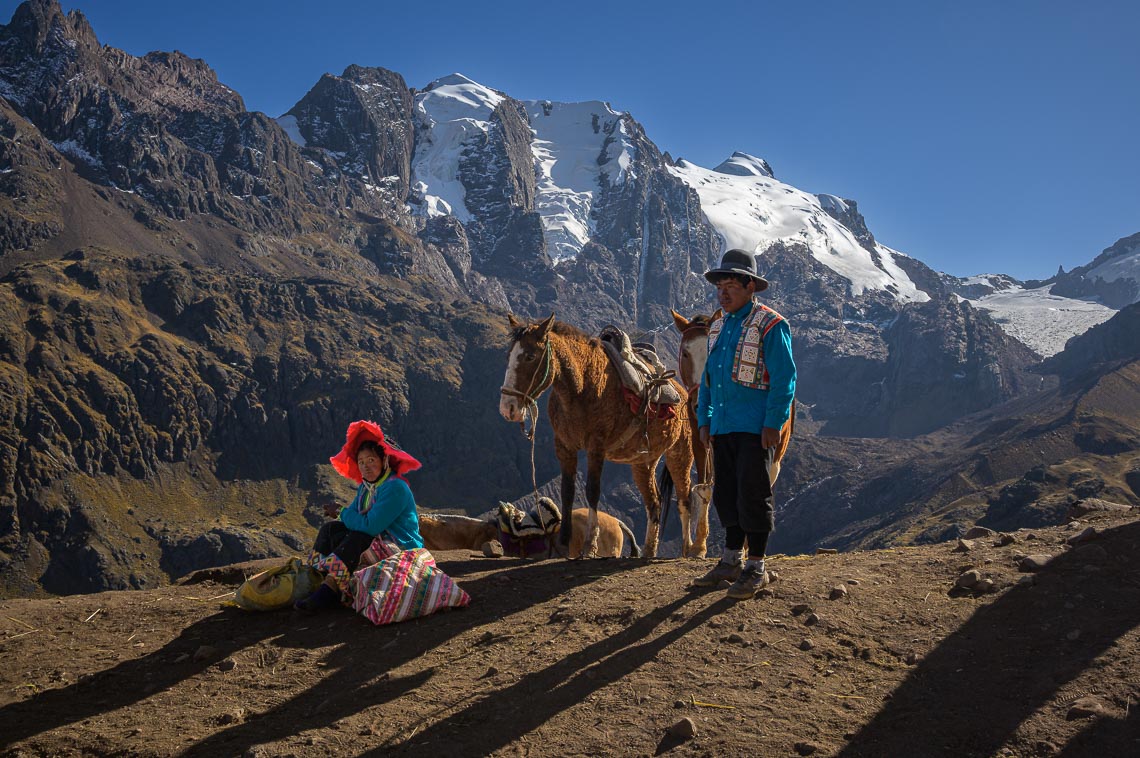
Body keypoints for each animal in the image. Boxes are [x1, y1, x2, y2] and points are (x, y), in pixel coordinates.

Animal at [501, 312, 693, 556]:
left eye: (529, 356)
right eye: (509, 355)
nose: (507, 408)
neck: (582, 388)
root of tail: (682, 391)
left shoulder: (596, 447)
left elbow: (592, 490)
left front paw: (590, 545)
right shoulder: (564, 446)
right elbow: (567, 490)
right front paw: (565, 541)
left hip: (681, 453)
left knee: (684, 498)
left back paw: (691, 550)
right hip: (644, 462)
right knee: (654, 503)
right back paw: (649, 551)